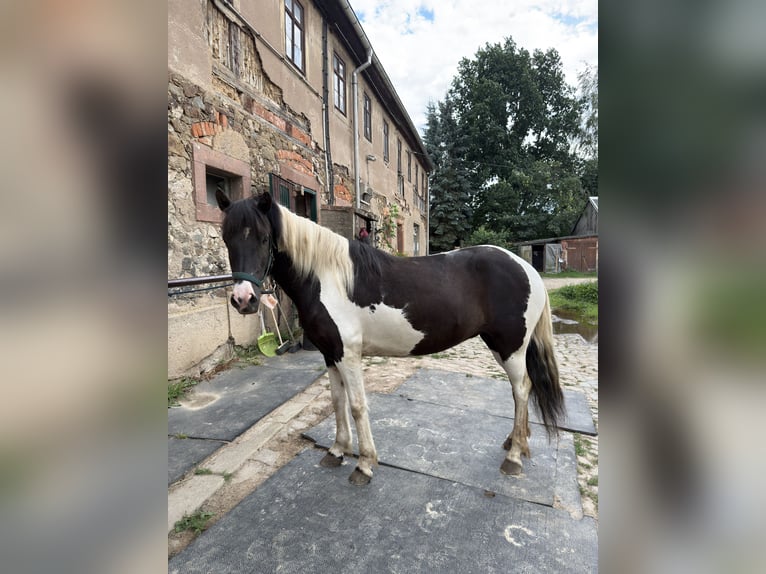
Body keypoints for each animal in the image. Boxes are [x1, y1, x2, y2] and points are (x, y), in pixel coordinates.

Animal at [215, 190, 564, 485]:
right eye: (226, 237)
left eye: (263, 238)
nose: (244, 299)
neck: (327, 278)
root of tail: (526, 268)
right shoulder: (330, 353)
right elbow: (337, 401)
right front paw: (337, 450)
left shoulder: (348, 354)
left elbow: (357, 405)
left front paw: (364, 464)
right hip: (502, 346)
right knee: (519, 391)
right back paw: (516, 441)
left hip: (510, 347)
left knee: (522, 389)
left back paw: (514, 456)